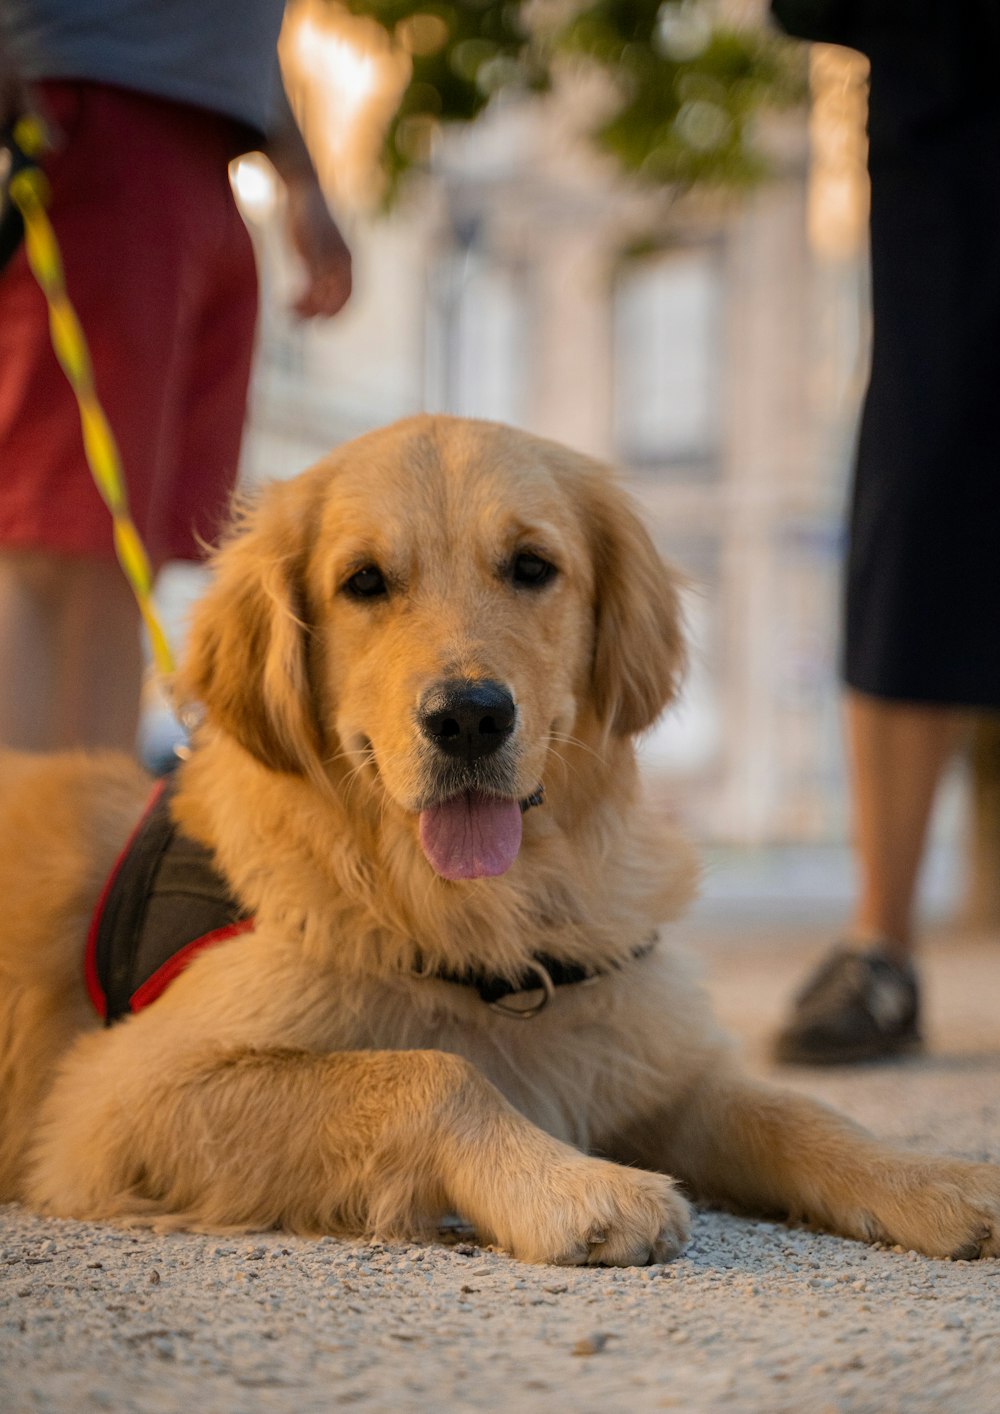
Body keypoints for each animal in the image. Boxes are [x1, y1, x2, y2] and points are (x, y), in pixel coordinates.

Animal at [1, 412, 1000, 1266]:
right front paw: (571, 1188)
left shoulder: (642, 1054)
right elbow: (432, 1071)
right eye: (364, 581)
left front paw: (933, 1179)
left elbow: (796, 1112)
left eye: (530, 566)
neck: (487, 921)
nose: (469, 718)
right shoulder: (115, 1097)